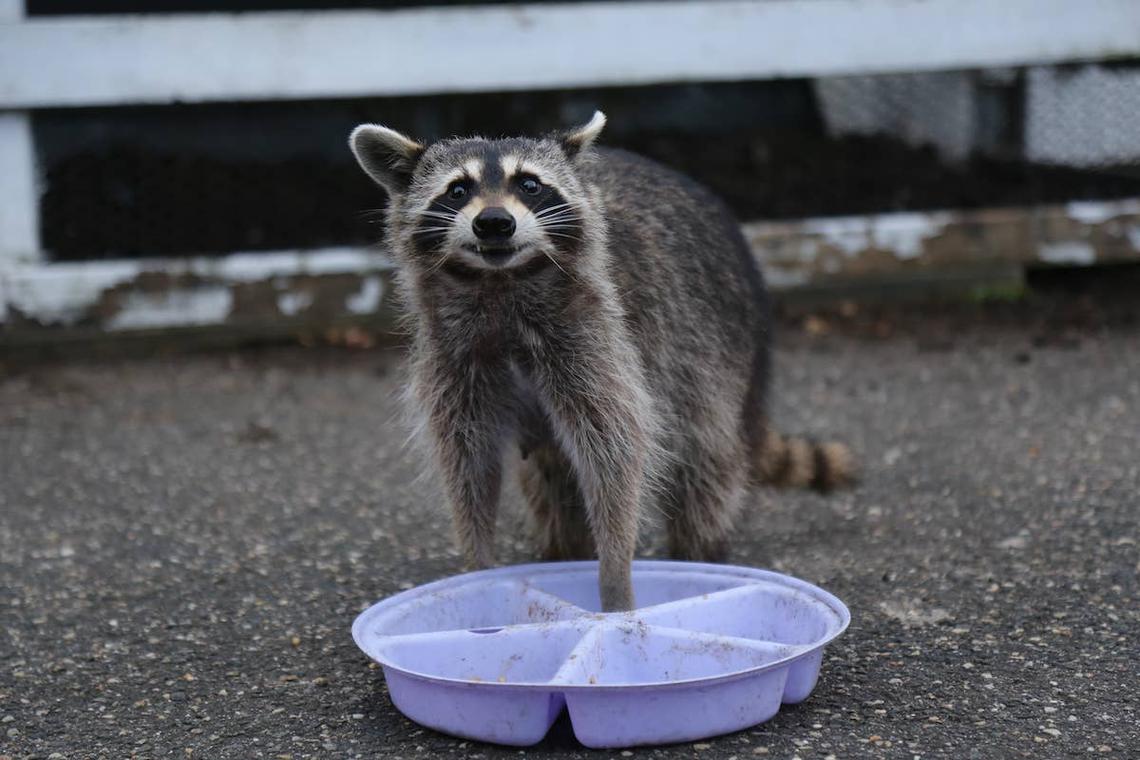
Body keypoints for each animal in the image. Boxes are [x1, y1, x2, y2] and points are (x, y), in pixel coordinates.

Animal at [349, 112, 852, 611]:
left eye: (529, 184)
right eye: (457, 190)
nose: (494, 222)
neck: (500, 282)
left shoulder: (598, 339)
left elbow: (616, 452)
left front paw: (614, 571)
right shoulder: (454, 358)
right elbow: (468, 460)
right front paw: (478, 568)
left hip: (715, 353)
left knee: (705, 463)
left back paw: (699, 548)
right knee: (553, 482)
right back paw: (562, 549)